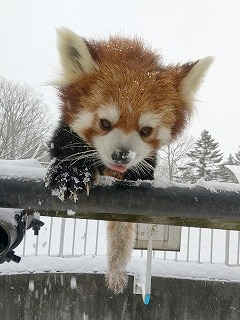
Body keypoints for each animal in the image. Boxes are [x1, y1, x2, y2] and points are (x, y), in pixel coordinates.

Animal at [45, 28, 214, 296]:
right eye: (105, 123)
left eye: (145, 130)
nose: (121, 156)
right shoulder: (65, 130)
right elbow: (66, 147)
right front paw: (71, 173)